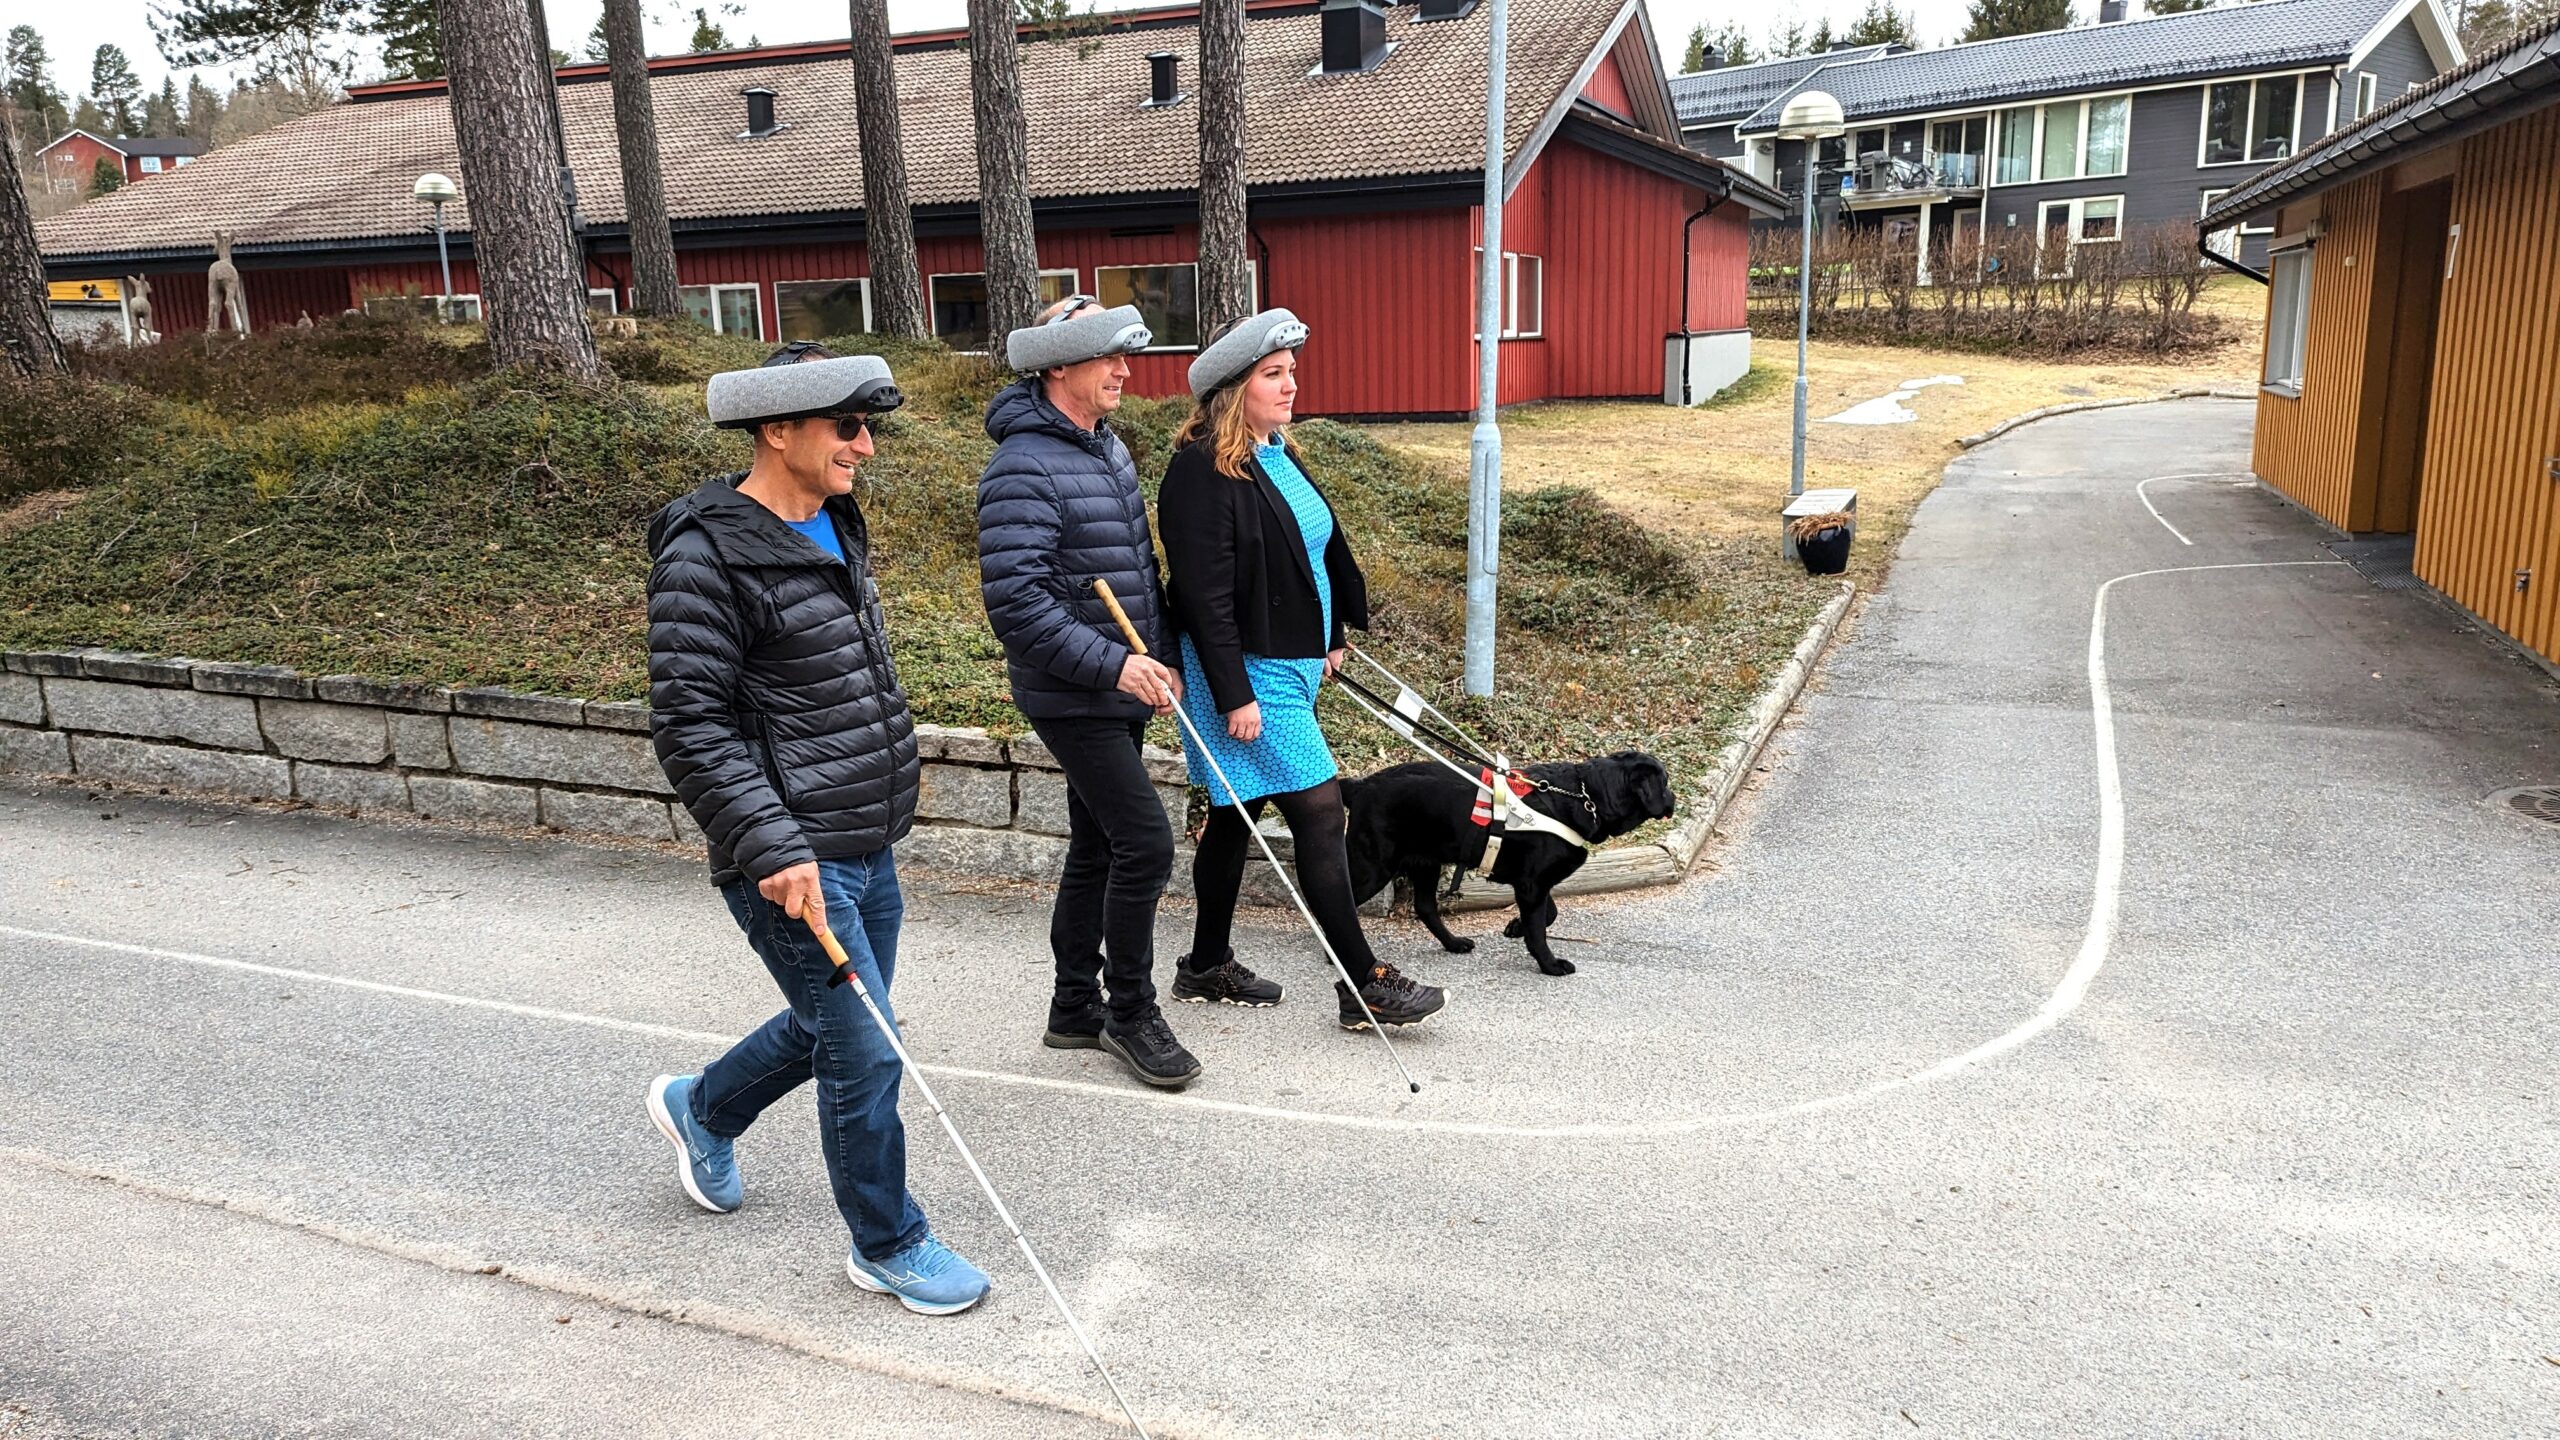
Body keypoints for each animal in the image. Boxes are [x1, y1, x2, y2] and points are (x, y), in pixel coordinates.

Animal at [1341, 753, 1679, 973]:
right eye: (1664, 783)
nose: (1674, 799)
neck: (1585, 797)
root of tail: (1359, 785)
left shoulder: (1534, 882)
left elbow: (1549, 913)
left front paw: (1516, 927)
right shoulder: (1532, 884)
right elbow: (1539, 930)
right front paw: (1549, 964)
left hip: (1426, 862)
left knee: (1425, 907)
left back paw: (1453, 943)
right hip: (1373, 867)